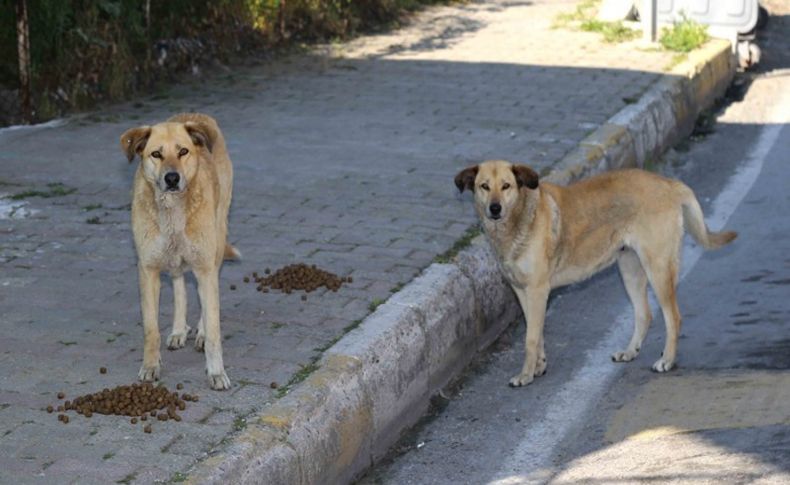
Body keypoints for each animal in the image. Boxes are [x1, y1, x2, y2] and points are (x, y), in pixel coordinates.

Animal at [120, 112, 238, 390]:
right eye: (156, 154)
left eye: (183, 151)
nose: (172, 178)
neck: (172, 211)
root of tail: (198, 116)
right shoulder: (148, 270)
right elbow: (151, 329)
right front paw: (150, 367)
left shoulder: (205, 267)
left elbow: (215, 329)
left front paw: (216, 372)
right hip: (174, 260)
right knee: (178, 282)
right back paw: (177, 330)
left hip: (216, 244)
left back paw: (200, 332)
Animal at [454, 161, 740, 388]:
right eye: (483, 186)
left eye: (506, 186)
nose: (494, 209)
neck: (521, 217)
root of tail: (669, 184)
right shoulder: (524, 293)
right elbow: (537, 333)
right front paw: (538, 366)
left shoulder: (537, 290)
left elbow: (531, 338)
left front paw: (525, 375)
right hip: (629, 269)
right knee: (644, 314)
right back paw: (630, 351)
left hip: (658, 268)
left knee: (674, 317)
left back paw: (667, 360)